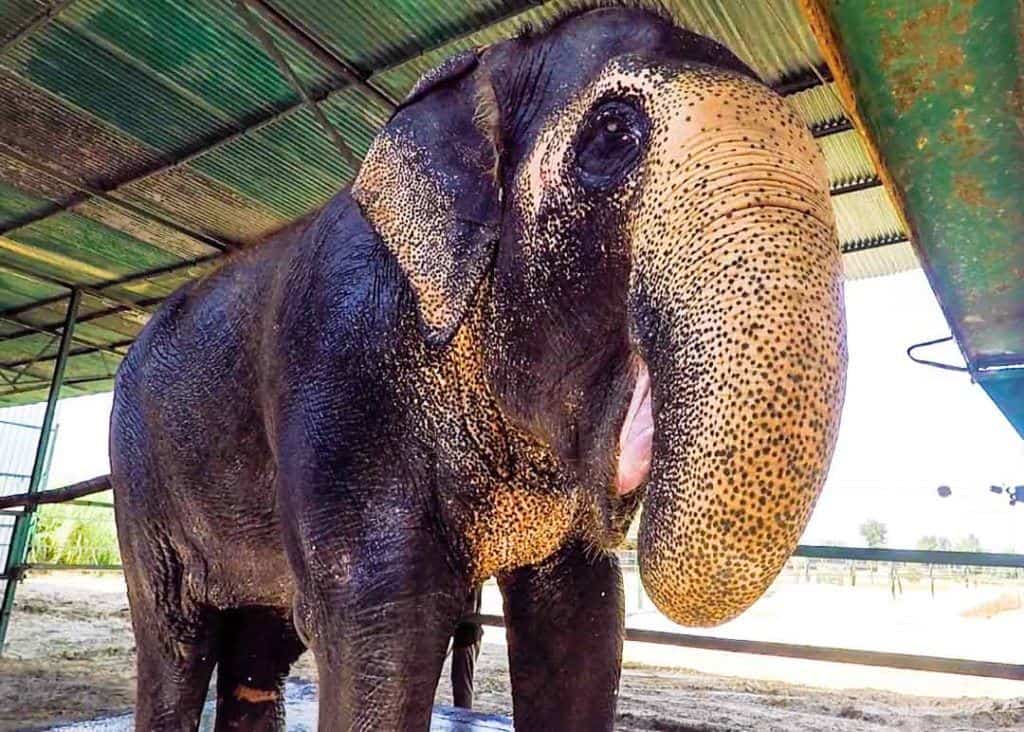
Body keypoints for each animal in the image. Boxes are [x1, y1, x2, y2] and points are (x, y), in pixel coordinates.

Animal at [109, 4, 847, 731]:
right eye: (612, 134)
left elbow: (581, 619)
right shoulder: (339, 371)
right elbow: (383, 623)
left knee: (259, 651)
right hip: (141, 478)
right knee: (176, 639)